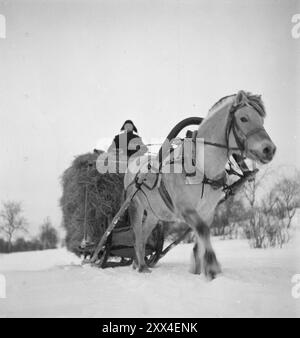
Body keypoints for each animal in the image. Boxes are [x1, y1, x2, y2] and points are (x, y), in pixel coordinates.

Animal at [123, 89, 276, 278]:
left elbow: (200, 236)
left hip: (153, 214)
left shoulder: (207, 210)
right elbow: (202, 230)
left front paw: (198, 266)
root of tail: (133, 161)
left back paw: (139, 263)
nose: (269, 149)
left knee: (143, 236)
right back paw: (142, 266)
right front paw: (212, 266)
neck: (202, 168)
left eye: (261, 120)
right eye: (243, 118)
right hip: (135, 207)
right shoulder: (186, 208)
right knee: (136, 236)